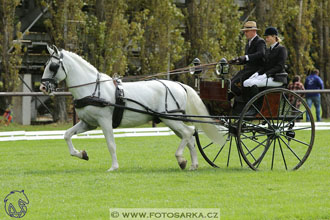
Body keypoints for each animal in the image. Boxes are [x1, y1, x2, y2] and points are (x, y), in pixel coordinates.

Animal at [40, 45, 226, 172]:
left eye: (53, 66)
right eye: (46, 64)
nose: (43, 87)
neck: (92, 88)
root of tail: (180, 85)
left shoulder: (104, 121)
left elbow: (111, 144)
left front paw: (114, 167)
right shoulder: (88, 123)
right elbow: (67, 135)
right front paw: (81, 154)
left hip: (170, 119)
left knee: (188, 133)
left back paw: (180, 158)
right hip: (172, 120)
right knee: (190, 136)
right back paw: (192, 164)